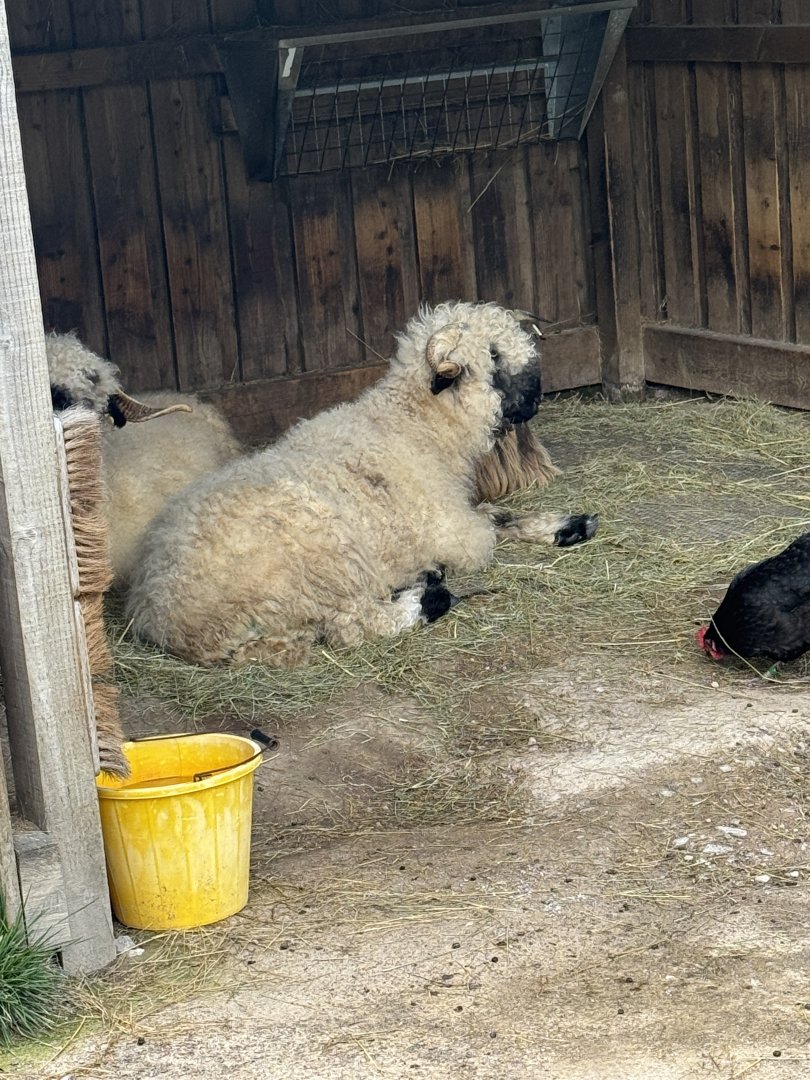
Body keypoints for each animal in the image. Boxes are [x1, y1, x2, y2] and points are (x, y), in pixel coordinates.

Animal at [126, 301, 598, 668]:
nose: (536, 399)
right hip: (323, 563)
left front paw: (568, 525)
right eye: (494, 356)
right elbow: (490, 529)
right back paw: (427, 598)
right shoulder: (451, 529)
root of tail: (164, 615)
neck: (415, 424)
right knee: (350, 627)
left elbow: (500, 513)